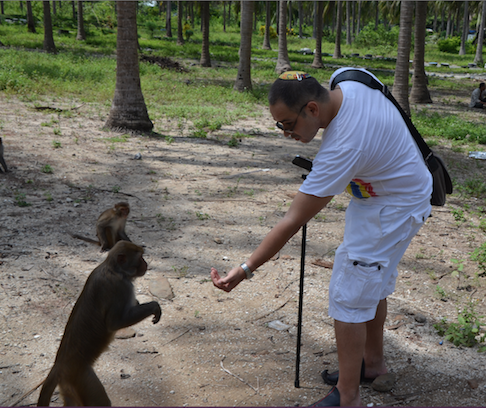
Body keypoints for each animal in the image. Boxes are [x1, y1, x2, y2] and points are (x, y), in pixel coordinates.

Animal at [37, 241, 161, 406]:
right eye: (140, 258)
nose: (146, 263)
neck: (114, 269)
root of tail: (59, 364)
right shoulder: (121, 287)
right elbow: (114, 323)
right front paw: (154, 306)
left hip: (68, 383)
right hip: (81, 378)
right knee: (100, 401)